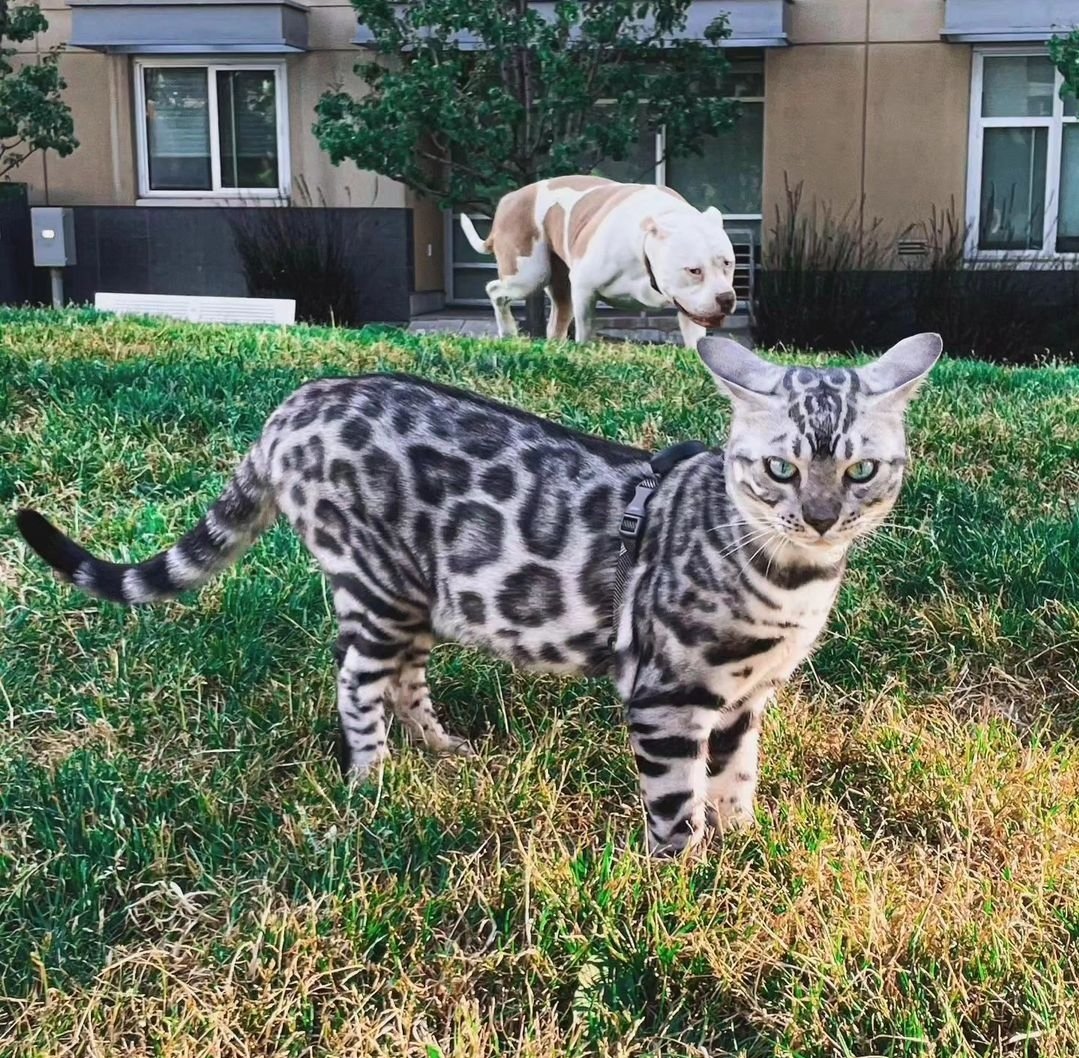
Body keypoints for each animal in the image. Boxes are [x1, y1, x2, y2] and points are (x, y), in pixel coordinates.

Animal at [14, 334, 936, 854]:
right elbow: (677, 810)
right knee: (356, 686)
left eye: (860, 470)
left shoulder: (745, 699)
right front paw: (683, 890)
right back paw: (371, 784)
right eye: (779, 467)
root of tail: (297, 400)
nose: (819, 517)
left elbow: (735, 780)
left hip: (423, 599)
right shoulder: (666, 696)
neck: (788, 581)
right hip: (377, 590)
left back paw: (442, 749)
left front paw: (743, 849)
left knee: (404, 682)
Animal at [459, 175, 738, 345]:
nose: (726, 298)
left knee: (558, 314)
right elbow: (585, 330)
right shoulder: (585, 290)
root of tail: (508, 199)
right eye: (694, 270)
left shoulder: (690, 307)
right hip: (528, 275)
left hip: (556, 283)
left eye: (728, 263)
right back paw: (508, 333)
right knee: (495, 290)